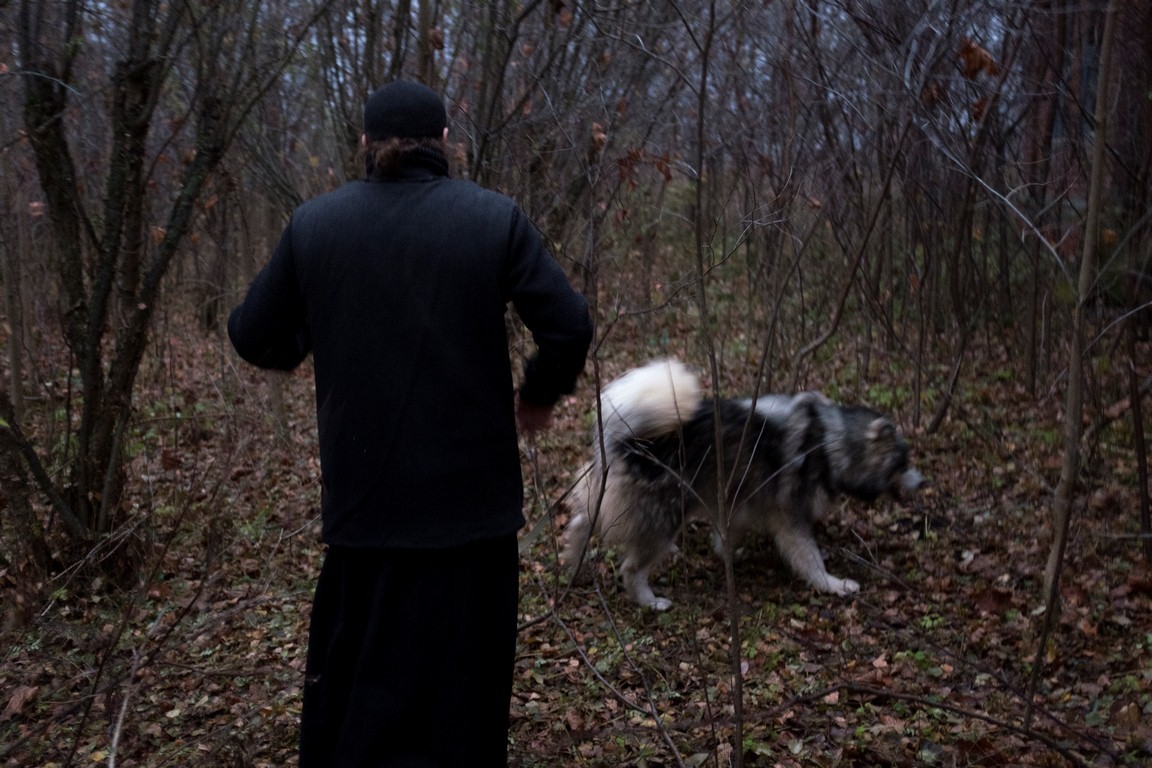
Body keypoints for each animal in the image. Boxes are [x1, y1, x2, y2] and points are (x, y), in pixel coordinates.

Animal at [562, 358, 923, 610]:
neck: (832, 443)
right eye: (902, 463)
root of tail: (632, 441)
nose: (922, 482)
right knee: (631, 567)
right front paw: (832, 584)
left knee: (581, 522)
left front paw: (727, 554)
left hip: (611, 501)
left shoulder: (738, 504)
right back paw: (648, 600)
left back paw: (572, 562)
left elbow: (728, 535)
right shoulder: (792, 517)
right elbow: (811, 558)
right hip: (665, 517)